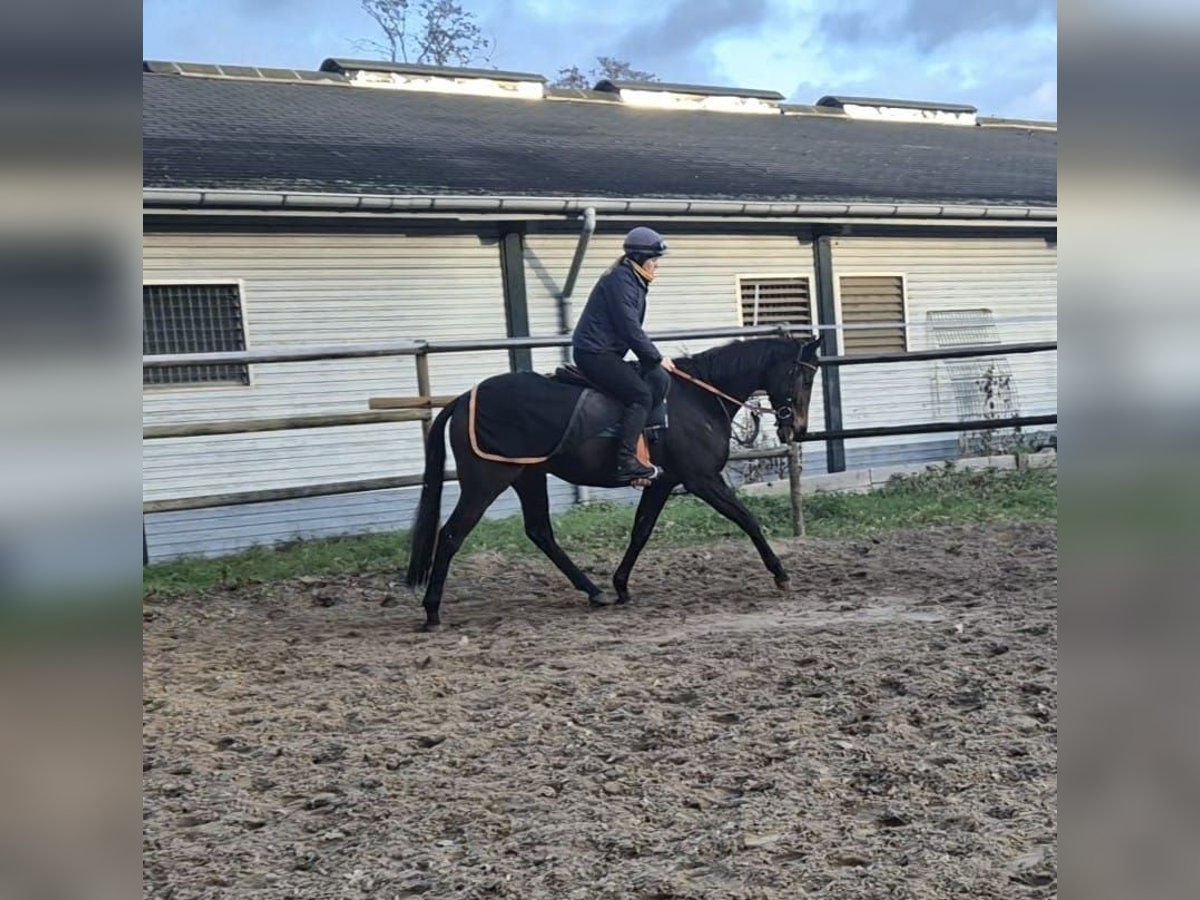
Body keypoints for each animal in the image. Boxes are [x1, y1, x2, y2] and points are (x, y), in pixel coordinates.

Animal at [408, 336, 820, 628]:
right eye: (803, 375)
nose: (797, 428)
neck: (698, 398)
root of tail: (464, 399)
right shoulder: (701, 479)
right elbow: (746, 518)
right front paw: (780, 574)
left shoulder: (663, 482)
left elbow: (641, 530)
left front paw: (621, 585)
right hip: (486, 481)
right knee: (451, 534)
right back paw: (431, 611)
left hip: (528, 476)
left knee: (540, 532)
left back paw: (595, 592)